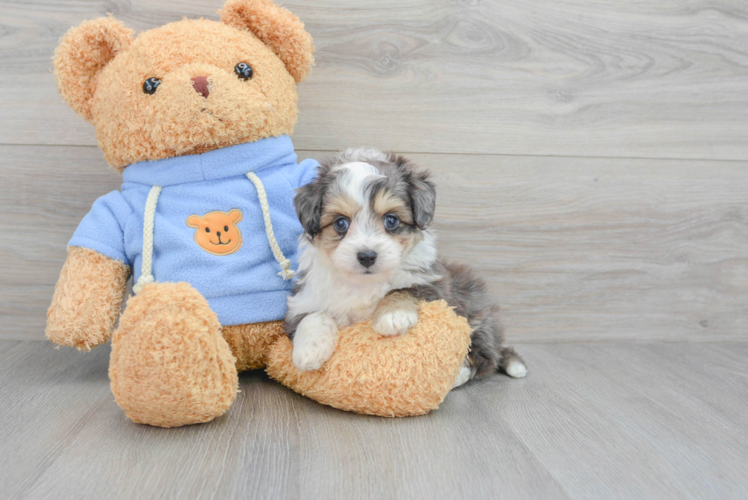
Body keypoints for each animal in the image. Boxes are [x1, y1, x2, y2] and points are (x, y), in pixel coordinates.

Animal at [284, 146, 524, 384]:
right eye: (341, 223)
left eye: (391, 220)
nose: (367, 256)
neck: (364, 283)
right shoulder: (305, 297)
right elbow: (313, 315)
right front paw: (309, 350)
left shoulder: (432, 285)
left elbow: (402, 289)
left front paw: (393, 316)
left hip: (475, 314)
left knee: (484, 358)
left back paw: (458, 374)